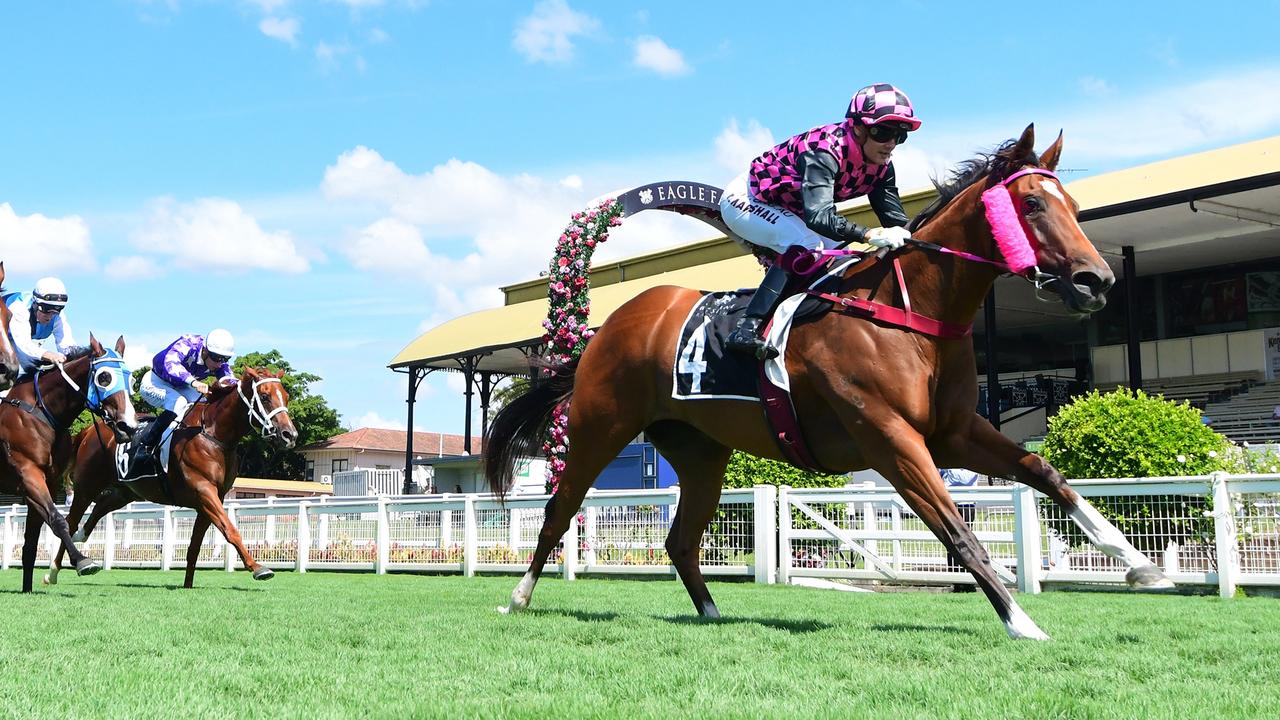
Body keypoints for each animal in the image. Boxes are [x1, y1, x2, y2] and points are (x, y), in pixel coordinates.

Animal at [46, 366, 298, 586]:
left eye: (285, 396)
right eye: (265, 396)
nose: (289, 435)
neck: (213, 435)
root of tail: (89, 430)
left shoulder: (211, 498)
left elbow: (195, 545)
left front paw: (187, 585)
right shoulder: (204, 491)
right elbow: (230, 530)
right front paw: (258, 568)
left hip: (124, 492)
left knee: (98, 509)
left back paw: (81, 537)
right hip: (86, 487)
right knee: (70, 522)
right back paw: (56, 571)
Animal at [483, 124, 1172, 638]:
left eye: (1074, 207)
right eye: (1030, 203)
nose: (1096, 281)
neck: (909, 312)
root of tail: (610, 327)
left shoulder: (952, 433)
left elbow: (1049, 475)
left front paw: (1140, 565)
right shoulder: (891, 440)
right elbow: (958, 530)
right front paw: (1022, 622)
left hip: (701, 449)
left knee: (680, 539)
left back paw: (712, 613)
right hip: (601, 426)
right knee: (559, 510)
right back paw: (518, 596)